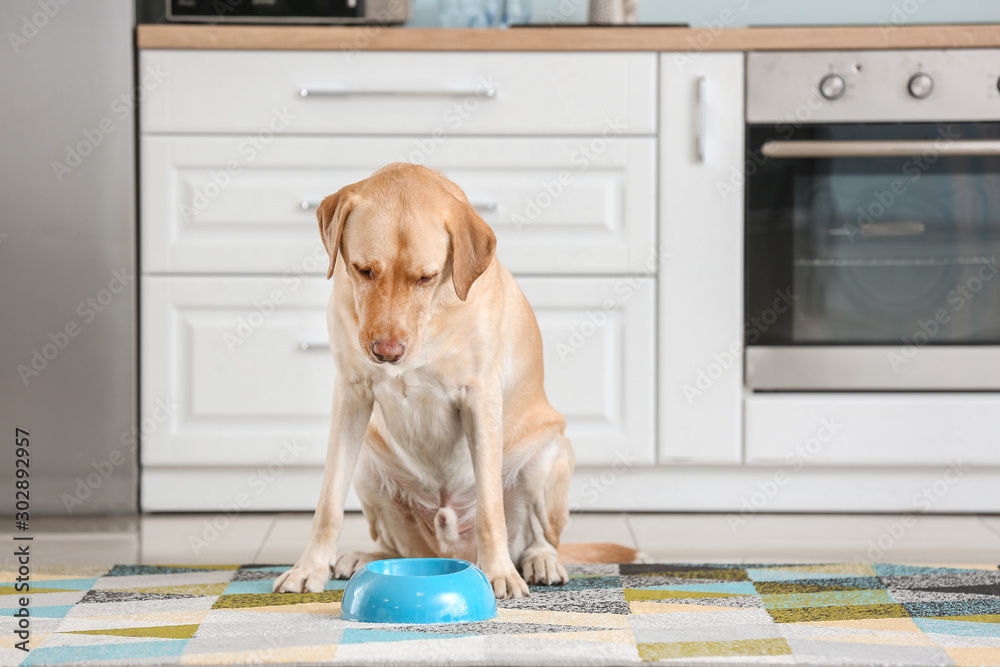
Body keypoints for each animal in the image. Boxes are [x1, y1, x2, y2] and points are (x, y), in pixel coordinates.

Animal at [276, 163, 580, 600]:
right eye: (363, 270)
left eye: (426, 277)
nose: (386, 352)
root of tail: (453, 551)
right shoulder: (350, 394)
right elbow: (328, 503)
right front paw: (308, 568)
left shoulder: (480, 398)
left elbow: (491, 509)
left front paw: (500, 574)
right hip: (368, 462)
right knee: (399, 548)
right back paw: (364, 558)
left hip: (550, 453)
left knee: (541, 537)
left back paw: (539, 562)